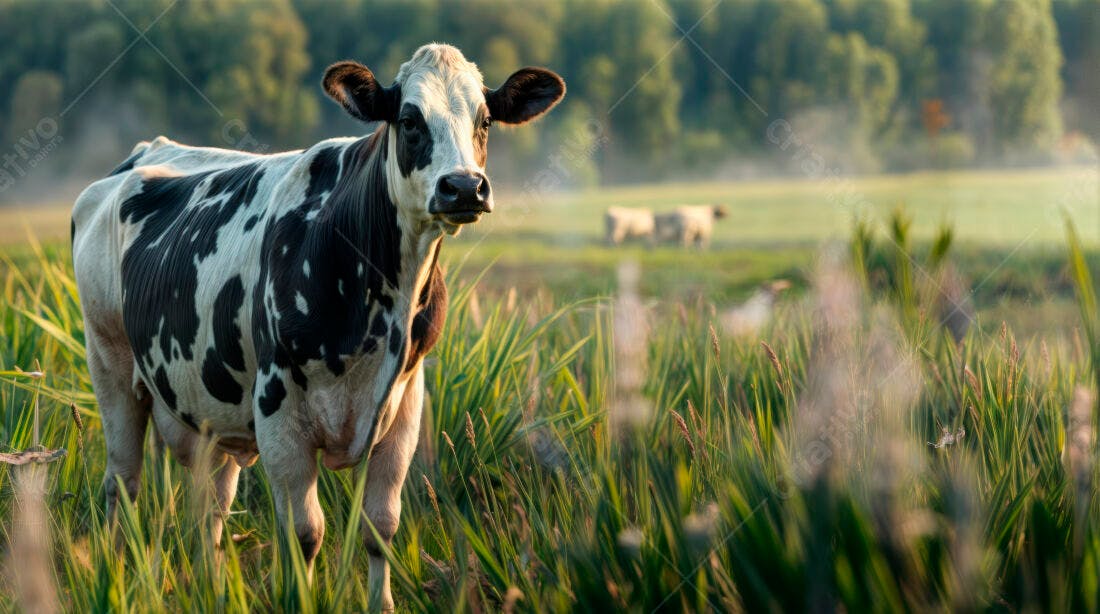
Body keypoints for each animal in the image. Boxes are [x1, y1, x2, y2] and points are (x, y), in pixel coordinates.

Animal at [71, 44, 564, 610]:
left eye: (485, 121)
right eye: (409, 120)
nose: (463, 187)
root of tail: (141, 154)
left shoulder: (405, 402)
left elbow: (381, 526)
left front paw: (382, 603)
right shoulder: (277, 406)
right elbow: (305, 533)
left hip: (210, 411)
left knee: (211, 508)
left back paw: (213, 586)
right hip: (109, 363)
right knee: (122, 483)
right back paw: (110, 570)